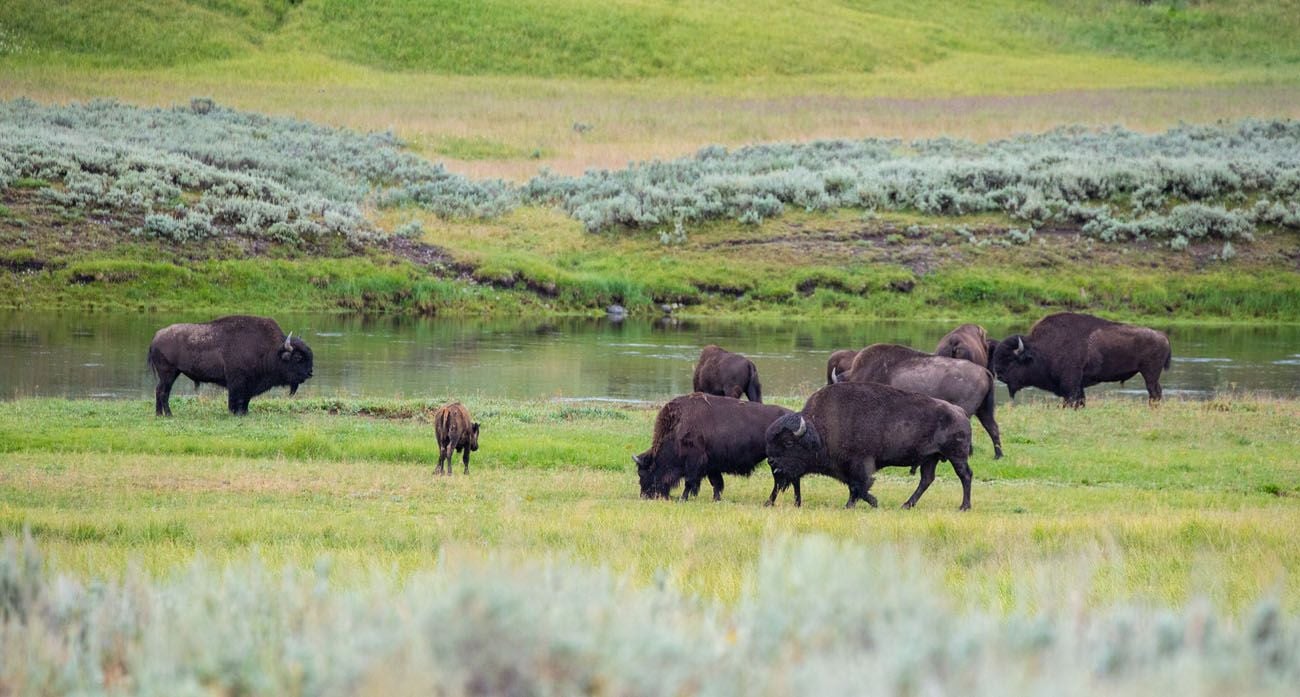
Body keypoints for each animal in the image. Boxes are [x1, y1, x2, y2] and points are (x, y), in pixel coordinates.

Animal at [146, 314, 312, 416]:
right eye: (298, 357)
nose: (310, 373)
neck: (272, 350)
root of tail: (156, 337)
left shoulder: (249, 386)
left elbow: (245, 400)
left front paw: (244, 413)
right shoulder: (236, 383)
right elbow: (235, 399)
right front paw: (235, 413)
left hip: (172, 374)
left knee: (160, 391)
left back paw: (160, 414)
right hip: (168, 373)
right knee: (163, 392)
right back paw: (168, 414)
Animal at [631, 392, 790, 501]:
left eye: (642, 473)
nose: (645, 495)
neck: (677, 428)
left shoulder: (694, 462)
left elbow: (690, 482)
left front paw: (683, 498)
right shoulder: (711, 466)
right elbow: (717, 484)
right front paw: (716, 499)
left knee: (778, 482)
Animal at [987, 312, 1175, 408]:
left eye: (1011, 360)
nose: (999, 374)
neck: (1039, 349)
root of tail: (1162, 336)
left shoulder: (1070, 383)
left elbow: (1071, 400)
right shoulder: (1078, 385)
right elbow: (1080, 401)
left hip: (1150, 373)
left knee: (1154, 392)